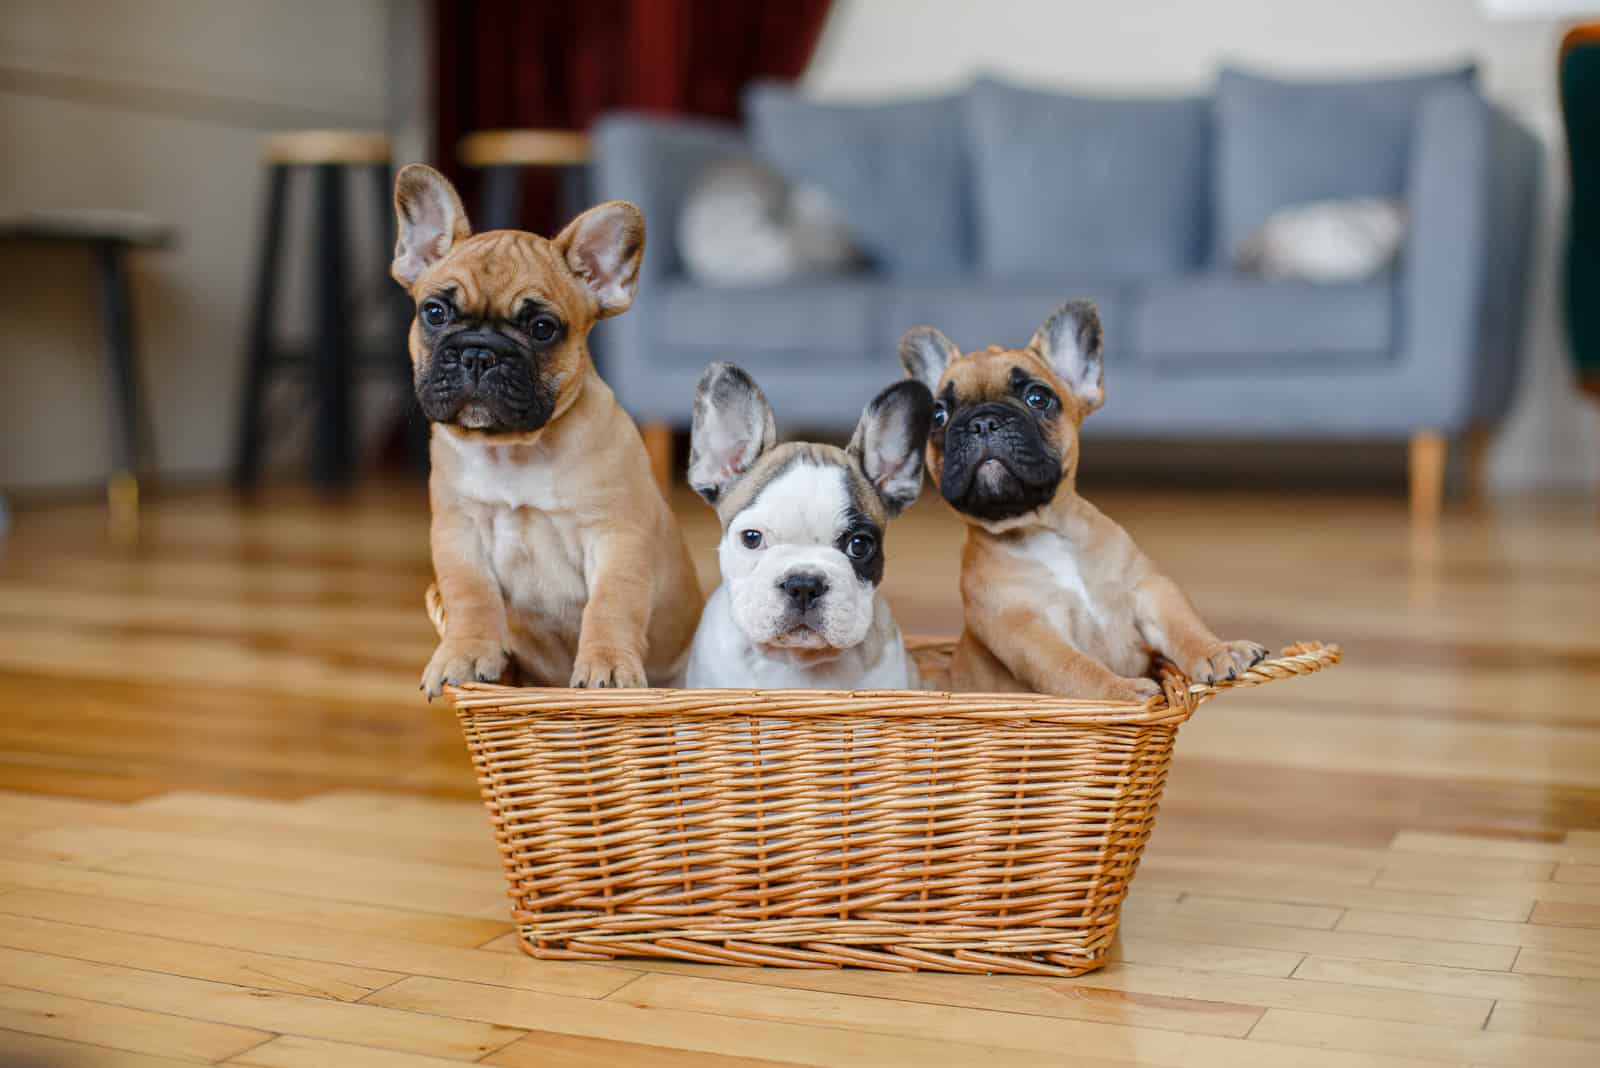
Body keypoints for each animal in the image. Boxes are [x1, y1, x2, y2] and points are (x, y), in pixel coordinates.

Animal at [390, 158, 704, 693]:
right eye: (434, 312)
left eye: (542, 329)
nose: (479, 353)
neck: (515, 451)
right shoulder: (459, 534)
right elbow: (469, 595)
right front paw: (464, 653)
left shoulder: (616, 537)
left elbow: (611, 605)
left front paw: (607, 666)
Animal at [902, 300, 1260, 700]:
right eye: (938, 415)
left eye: (1038, 398)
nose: (982, 422)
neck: (1041, 529)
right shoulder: (1026, 630)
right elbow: (1077, 668)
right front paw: (1121, 692)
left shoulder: (1149, 590)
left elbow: (1183, 623)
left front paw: (1217, 651)